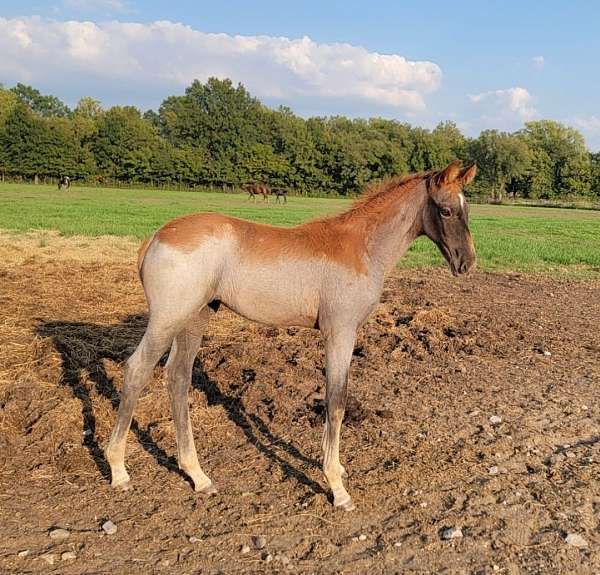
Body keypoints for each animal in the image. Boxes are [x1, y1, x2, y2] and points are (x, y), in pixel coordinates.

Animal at [106, 160, 478, 510]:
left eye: (467, 208)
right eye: (446, 210)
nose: (467, 263)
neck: (361, 247)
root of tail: (155, 237)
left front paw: (337, 469)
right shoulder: (339, 332)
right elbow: (336, 401)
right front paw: (337, 487)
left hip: (195, 318)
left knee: (178, 377)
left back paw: (198, 475)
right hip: (167, 319)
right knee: (137, 369)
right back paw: (119, 470)